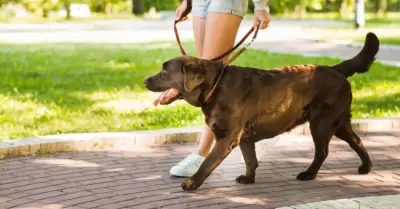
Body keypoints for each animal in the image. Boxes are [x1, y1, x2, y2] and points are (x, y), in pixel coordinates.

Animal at [143, 32, 378, 191]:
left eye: (164, 71)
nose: (145, 80)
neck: (215, 86)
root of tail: (336, 69)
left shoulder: (226, 138)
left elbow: (208, 162)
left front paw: (192, 183)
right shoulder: (244, 137)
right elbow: (250, 159)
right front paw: (249, 178)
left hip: (321, 123)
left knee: (323, 151)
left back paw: (309, 174)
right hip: (339, 123)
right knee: (357, 141)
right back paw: (365, 167)